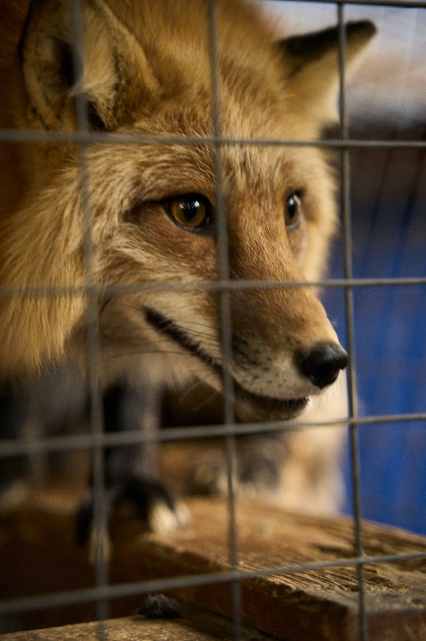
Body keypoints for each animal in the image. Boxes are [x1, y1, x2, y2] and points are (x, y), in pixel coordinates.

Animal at [0, 0, 375, 544]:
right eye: (190, 211)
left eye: (290, 208)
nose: (327, 362)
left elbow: (131, 400)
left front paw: (124, 486)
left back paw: (249, 462)